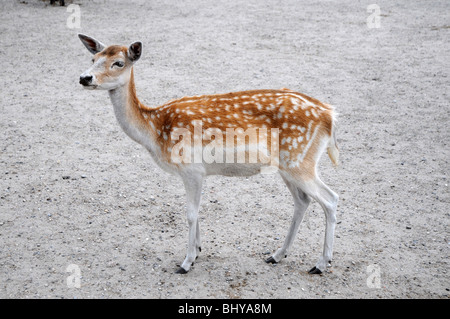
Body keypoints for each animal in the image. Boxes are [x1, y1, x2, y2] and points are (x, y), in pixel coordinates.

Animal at [78, 34, 338, 276]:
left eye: (118, 63)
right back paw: (277, 255)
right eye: (93, 58)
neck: (155, 130)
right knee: (302, 201)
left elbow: (191, 213)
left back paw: (321, 264)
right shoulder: (196, 172)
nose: (84, 78)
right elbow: (196, 211)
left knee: (330, 198)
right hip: (288, 165)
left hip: (299, 159)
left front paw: (186, 262)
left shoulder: (192, 168)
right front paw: (198, 251)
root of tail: (330, 116)